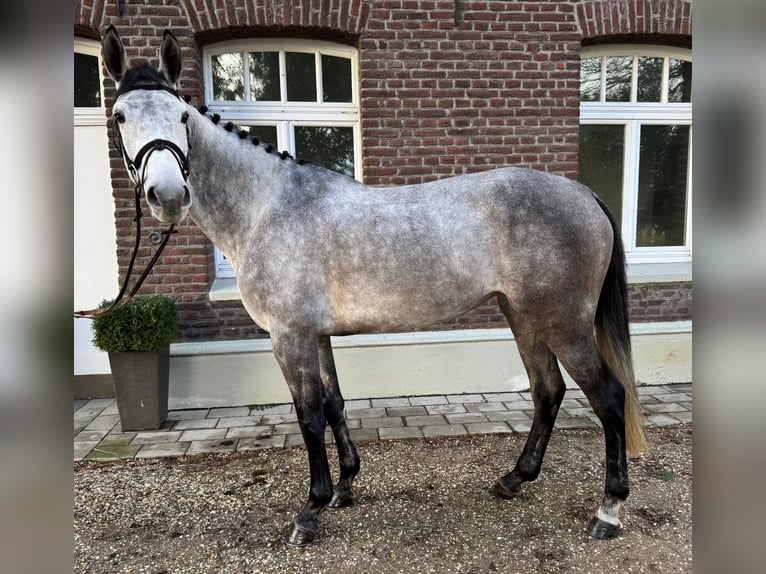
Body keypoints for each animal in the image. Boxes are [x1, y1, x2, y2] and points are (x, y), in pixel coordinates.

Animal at [102, 27, 648, 548]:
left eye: (181, 116)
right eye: (120, 116)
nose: (168, 195)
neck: (268, 207)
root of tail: (583, 193)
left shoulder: (289, 337)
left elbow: (308, 417)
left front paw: (310, 512)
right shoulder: (316, 336)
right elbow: (333, 403)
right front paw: (344, 488)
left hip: (562, 323)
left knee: (608, 397)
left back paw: (608, 510)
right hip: (523, 315)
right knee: (547, 391)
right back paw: (513, 479)